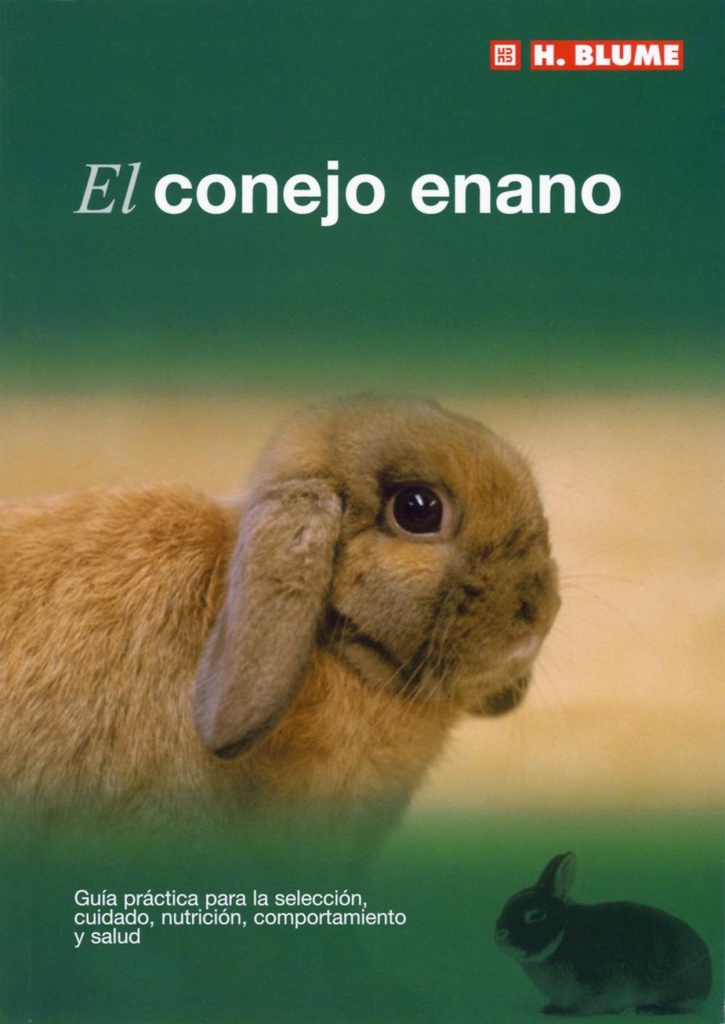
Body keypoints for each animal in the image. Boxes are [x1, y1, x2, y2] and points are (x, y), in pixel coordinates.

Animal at [494, 851, 713, 1016]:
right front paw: (548, 1008)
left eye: (536, 915)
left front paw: (559, 1012)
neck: (560, 937)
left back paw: (649, 1009)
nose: (500, 934)